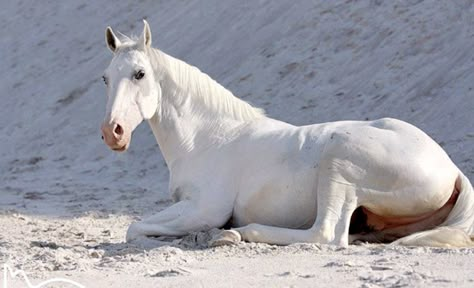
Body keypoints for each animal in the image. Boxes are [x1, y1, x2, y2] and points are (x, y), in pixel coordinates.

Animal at [101, 20, 474, 248]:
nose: (112, 132)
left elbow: (133, 228)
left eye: (139, 73)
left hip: (339, 158)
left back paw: (235, 234)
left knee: (326, 234)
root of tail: (451, 168)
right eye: (106, 78)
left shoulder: (204, 209)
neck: (208, 138)